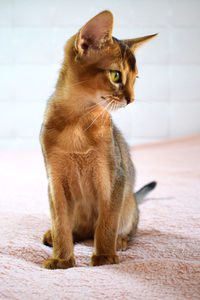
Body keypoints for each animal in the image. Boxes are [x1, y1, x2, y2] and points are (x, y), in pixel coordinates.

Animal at [40, 10, 156, 268]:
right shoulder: (55, 180)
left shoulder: (113, 177)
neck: (78, 122)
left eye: (135, 78)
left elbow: (107, 223)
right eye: (116, 75)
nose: (131, 99)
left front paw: (104, 256)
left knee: (126, 228)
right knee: (75, 230)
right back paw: (53, 236)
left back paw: (120, 241)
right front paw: (62, 259)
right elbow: (60, 222)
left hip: (128, 204)